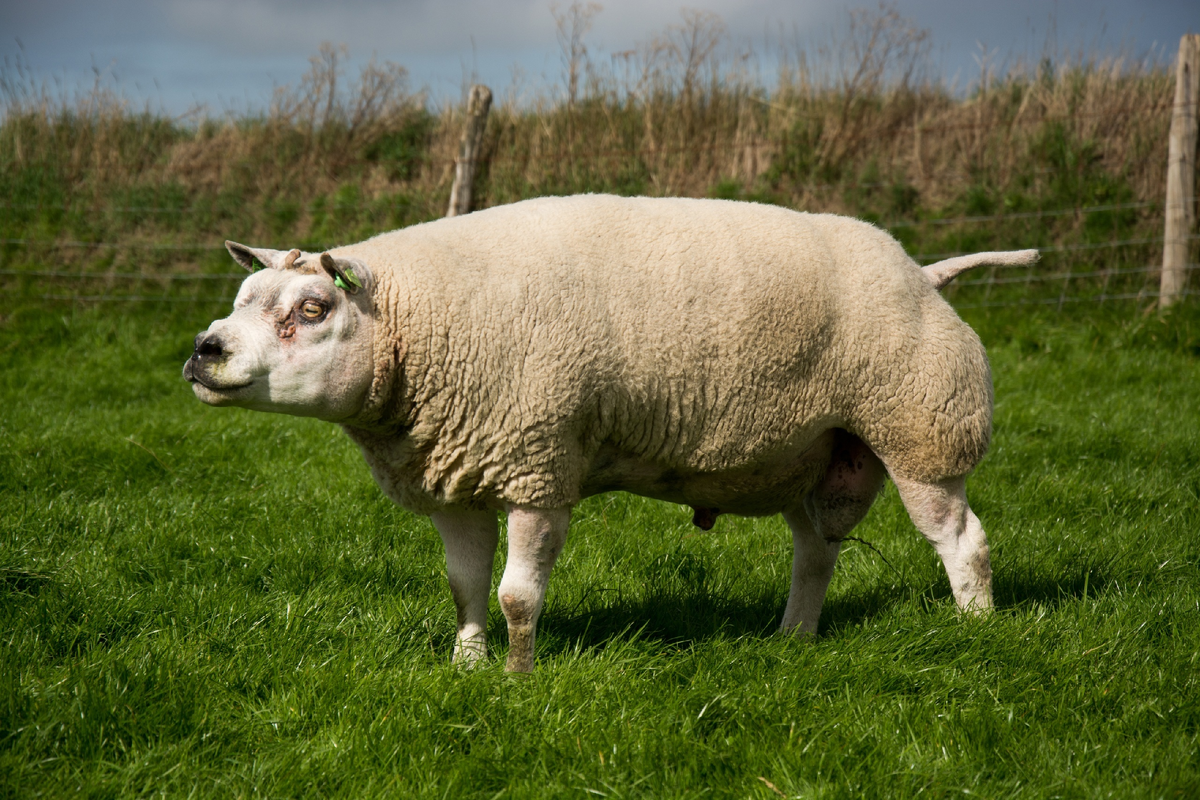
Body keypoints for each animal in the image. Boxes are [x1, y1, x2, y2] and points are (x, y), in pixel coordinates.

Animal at [182, 194, 1036, 671]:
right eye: (244, 297)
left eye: (312, 309)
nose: (204, 350)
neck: (426, 326)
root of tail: (924, 272)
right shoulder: (461, 480)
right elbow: (464, 586)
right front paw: (465, 667)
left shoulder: (538, 465)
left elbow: (517, 594)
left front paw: (517, 678)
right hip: (815, 455)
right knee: (815, 554)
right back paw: (792, 640)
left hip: (923, 428)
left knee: (963, 540)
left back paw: (976, 632)